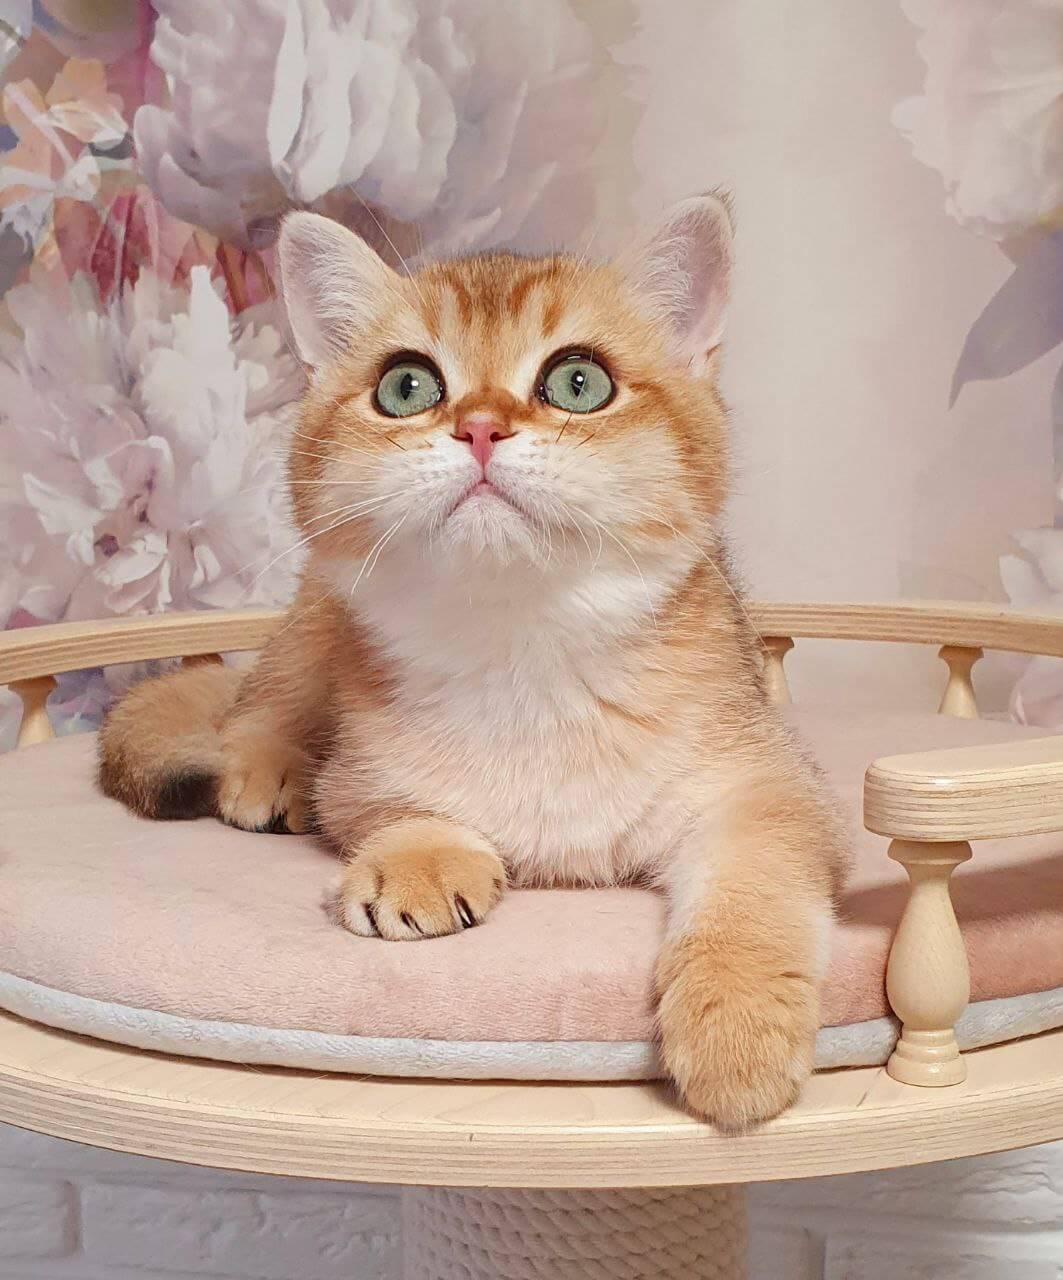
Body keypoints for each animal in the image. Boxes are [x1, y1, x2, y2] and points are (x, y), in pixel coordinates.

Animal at [98, 195, 848, 1130]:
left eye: (578, 382)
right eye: (406, 386)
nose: (480, 427)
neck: (522, 649)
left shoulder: (765, 781)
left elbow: (754, 882)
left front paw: (735, 1023)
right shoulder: (362, 767)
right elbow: (389, 802)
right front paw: (418, 856)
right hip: (316, 617)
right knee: (251, 707)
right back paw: (269, 772)